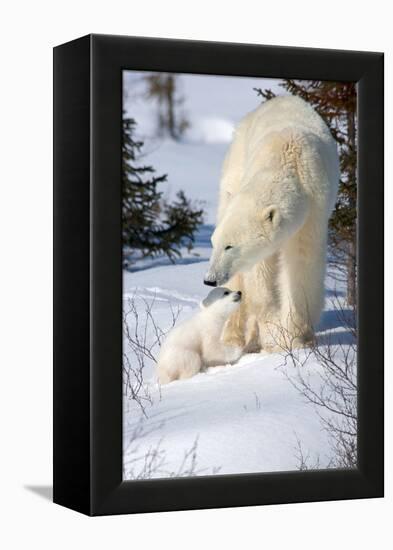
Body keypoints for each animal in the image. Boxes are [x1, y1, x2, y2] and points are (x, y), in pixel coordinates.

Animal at [204, 96, 338, 354]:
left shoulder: (314, 209)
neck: (287, 157)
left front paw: (295, 337)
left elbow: (302, 264)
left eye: (229, 246)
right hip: (235, 165)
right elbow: (259, 274)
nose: (210, 279)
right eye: (214, 243)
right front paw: (273, 332)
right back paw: (234, 337)